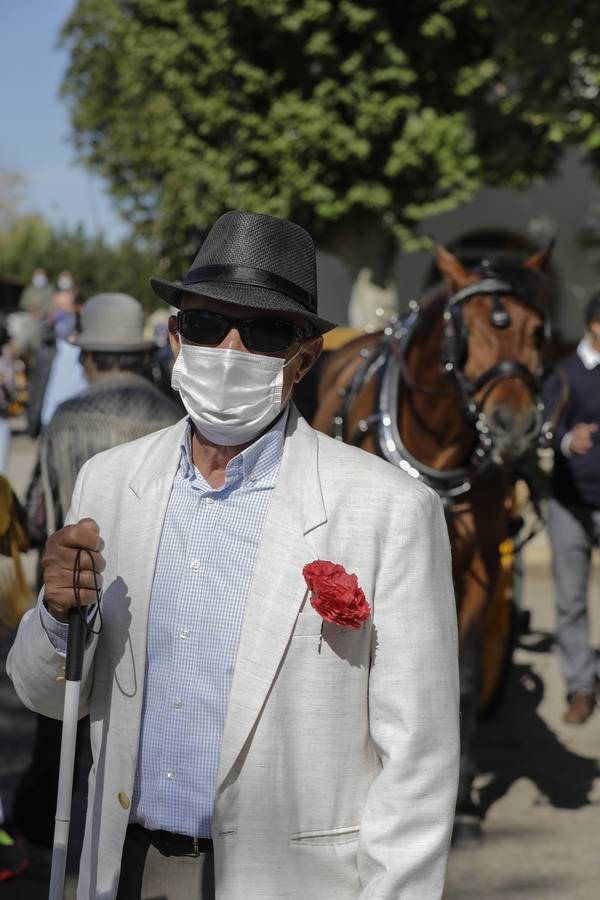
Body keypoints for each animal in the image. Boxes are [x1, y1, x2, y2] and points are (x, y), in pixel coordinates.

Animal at [312, 243, 556, 840]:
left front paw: (462, 802)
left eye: (539, 330)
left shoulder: (479, 563)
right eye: (467, 328)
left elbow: (463, 677)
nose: (513, 428)